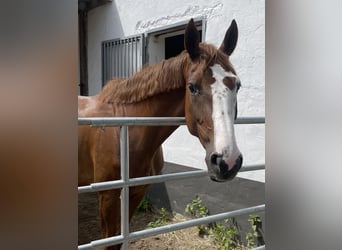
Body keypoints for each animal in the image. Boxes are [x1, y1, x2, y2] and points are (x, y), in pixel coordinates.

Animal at [79, 18, 242, 249]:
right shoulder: (108, 195)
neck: (129, 132)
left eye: (237, 85)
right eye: (192, 87)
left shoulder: (136, 192)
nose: (227, 161)